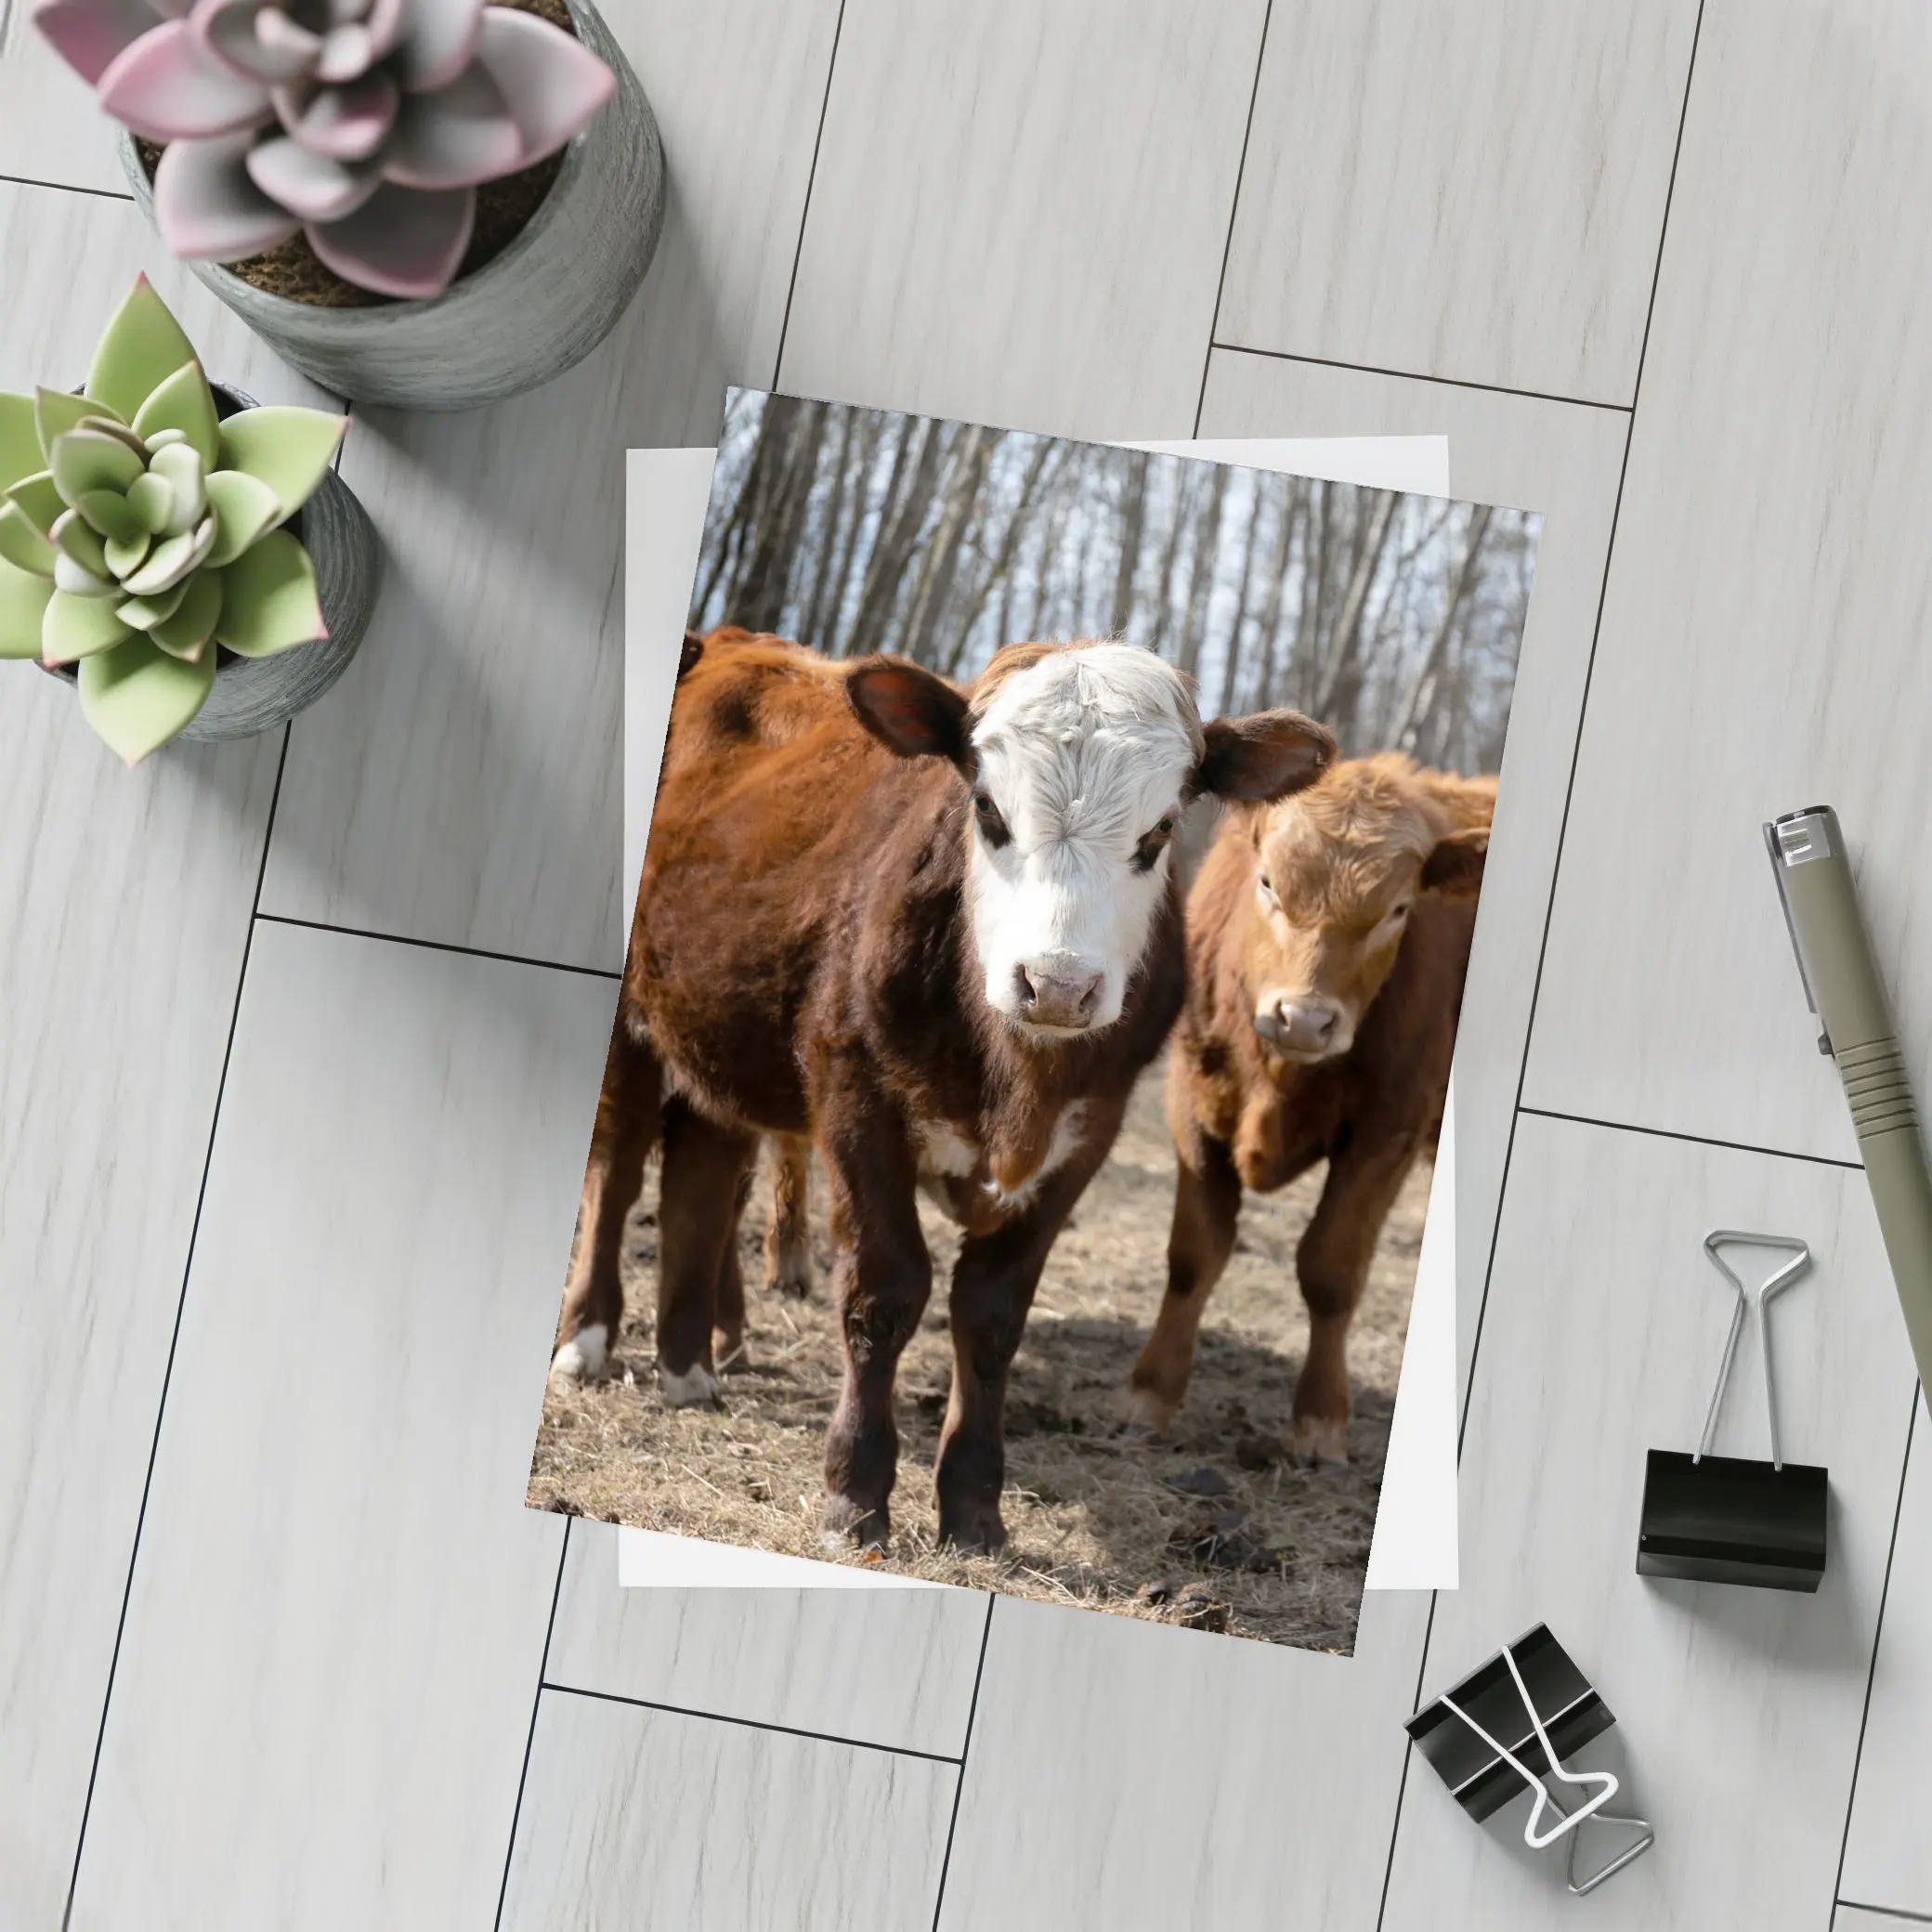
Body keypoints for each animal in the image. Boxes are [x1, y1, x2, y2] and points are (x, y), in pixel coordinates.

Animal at [550, 625, 1334, 1550]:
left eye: (1161, 830)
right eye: (988, 810)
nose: (1057, 986)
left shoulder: (1086, 1135)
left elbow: (991, 1316)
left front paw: (973, 1507)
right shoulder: (855, 1097)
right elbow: (885, 1291)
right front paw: (855, 1493)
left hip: (719, 1027)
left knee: (700, 1179)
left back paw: (688, 1369)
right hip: (636, 1028)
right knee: (618, 1166)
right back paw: (588, 1340)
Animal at [1125, 753, 1495, 1463]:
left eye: (1398, 909)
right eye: (1269, 884)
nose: (1303, 1018)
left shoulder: (1389, 1128)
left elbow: (1330, 1270)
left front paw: (1321, 1420)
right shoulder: (1191, 1101)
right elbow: (1194, 1255)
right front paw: (1151, 1395)